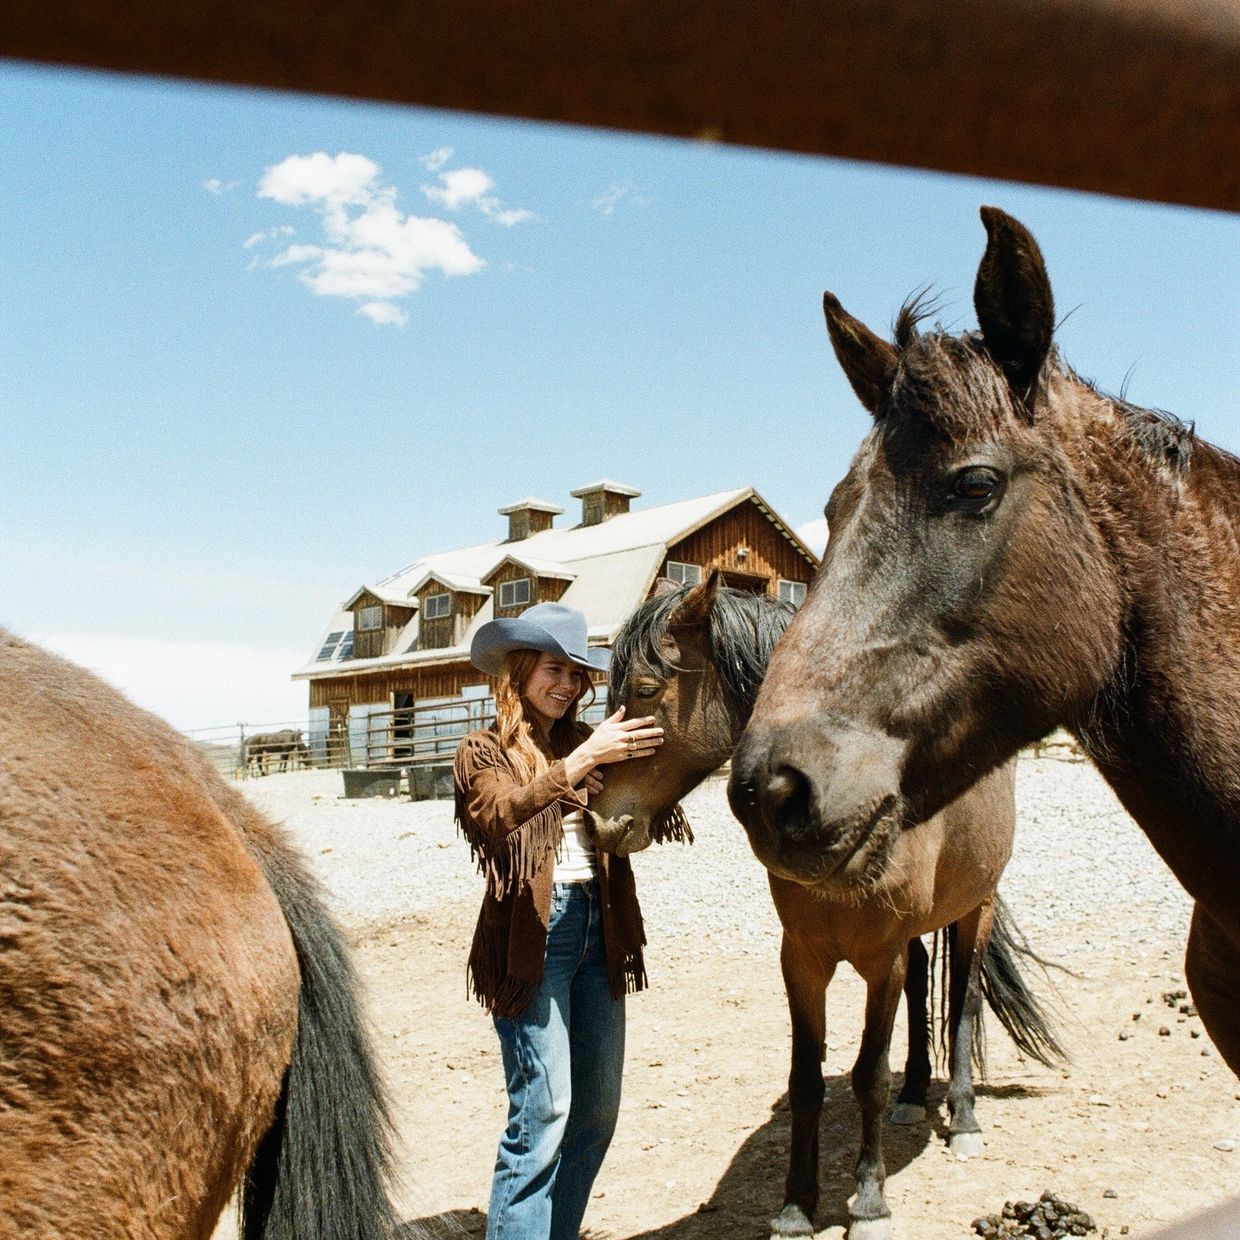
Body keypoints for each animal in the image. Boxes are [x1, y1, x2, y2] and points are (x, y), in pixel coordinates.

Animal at [587, 574, 1062, 1240]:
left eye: (646, 690)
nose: (601, 821)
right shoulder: (804, 959)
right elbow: (807, 1078)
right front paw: (795, 1206)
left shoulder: (879, 959)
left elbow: (868, 1074)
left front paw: (869, 1202)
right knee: (922, 985)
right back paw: (915, 1097)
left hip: (977, 907)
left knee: (963, 1000)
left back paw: (963, 1117)